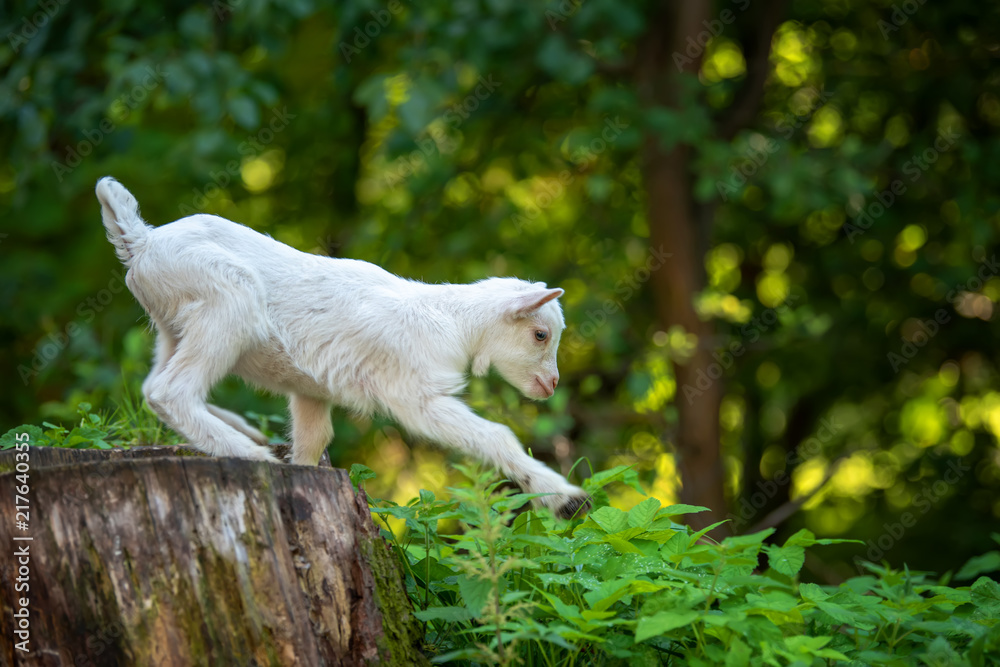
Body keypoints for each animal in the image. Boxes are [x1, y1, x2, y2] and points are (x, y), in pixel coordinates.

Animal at [95, 179, 584, 520]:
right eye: (541, 335)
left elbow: (314, 442)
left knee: (153, 386)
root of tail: (142, 240)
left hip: (173, 326)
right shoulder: (415, 397)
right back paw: (252, 455)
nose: (552, 383)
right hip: (228, 301)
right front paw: (563, 497)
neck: (451, 323)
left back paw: (247, 437)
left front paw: (303, 473)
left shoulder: (311, 392)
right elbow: (495, 435)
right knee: (171, 391)